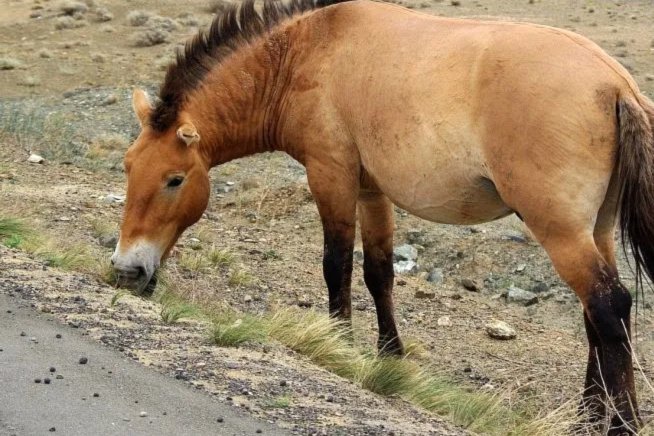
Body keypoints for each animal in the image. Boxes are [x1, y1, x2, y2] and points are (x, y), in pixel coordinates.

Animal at [111, 0, 654, 433]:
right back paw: (588, 415)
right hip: (595, 230)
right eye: (128, 166)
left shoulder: (330, 177)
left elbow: (336, 265)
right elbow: (378, 272)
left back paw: (621, 423)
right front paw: (389, 357)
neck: (304, 53)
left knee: (608, 305)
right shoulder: (372, 191)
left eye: (174, 180)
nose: (126, 270)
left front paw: (338, 344)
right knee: (597, 316)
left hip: (560, 231)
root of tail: (615, 83)